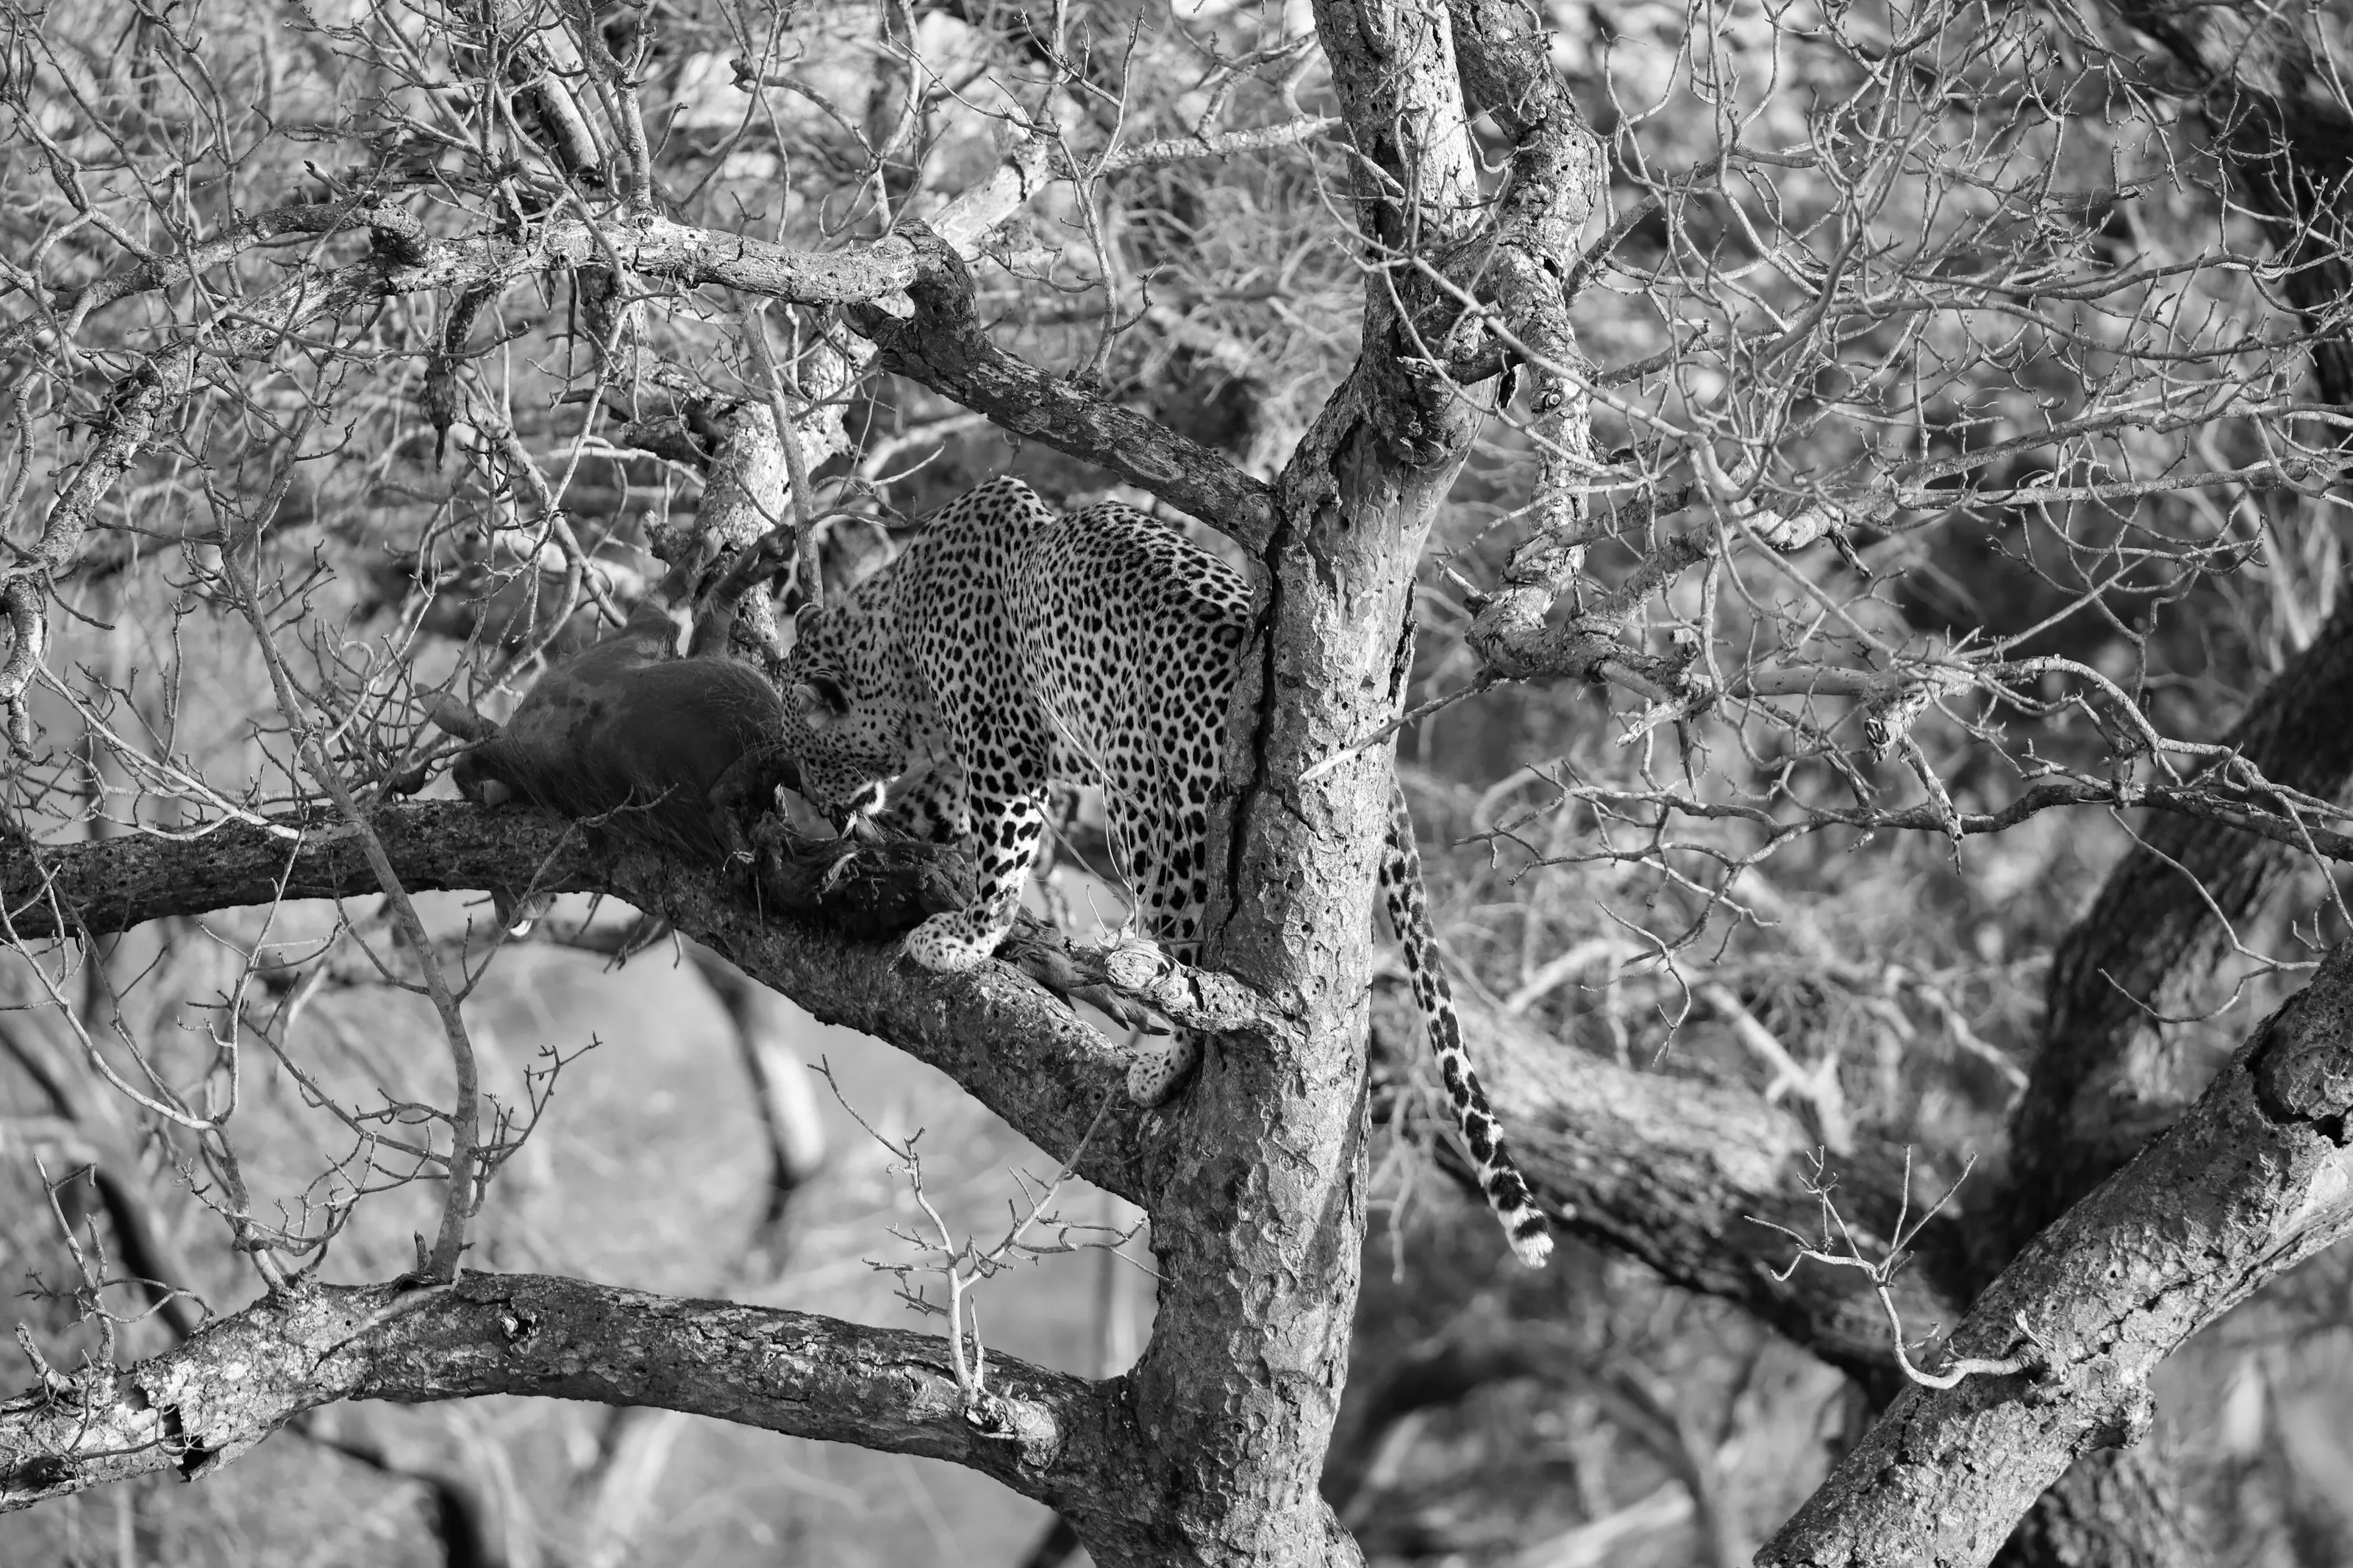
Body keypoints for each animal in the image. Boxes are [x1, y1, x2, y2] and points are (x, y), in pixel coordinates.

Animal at [775, 475, 1552, 1267]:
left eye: (808, 750)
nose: (817, 802)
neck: (895, 632)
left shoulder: (1004, 753)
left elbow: (1001, 858)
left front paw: (963, 938)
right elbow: (937, 816)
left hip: (1149, 815)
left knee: (1186, 963)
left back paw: (1162, 1065)